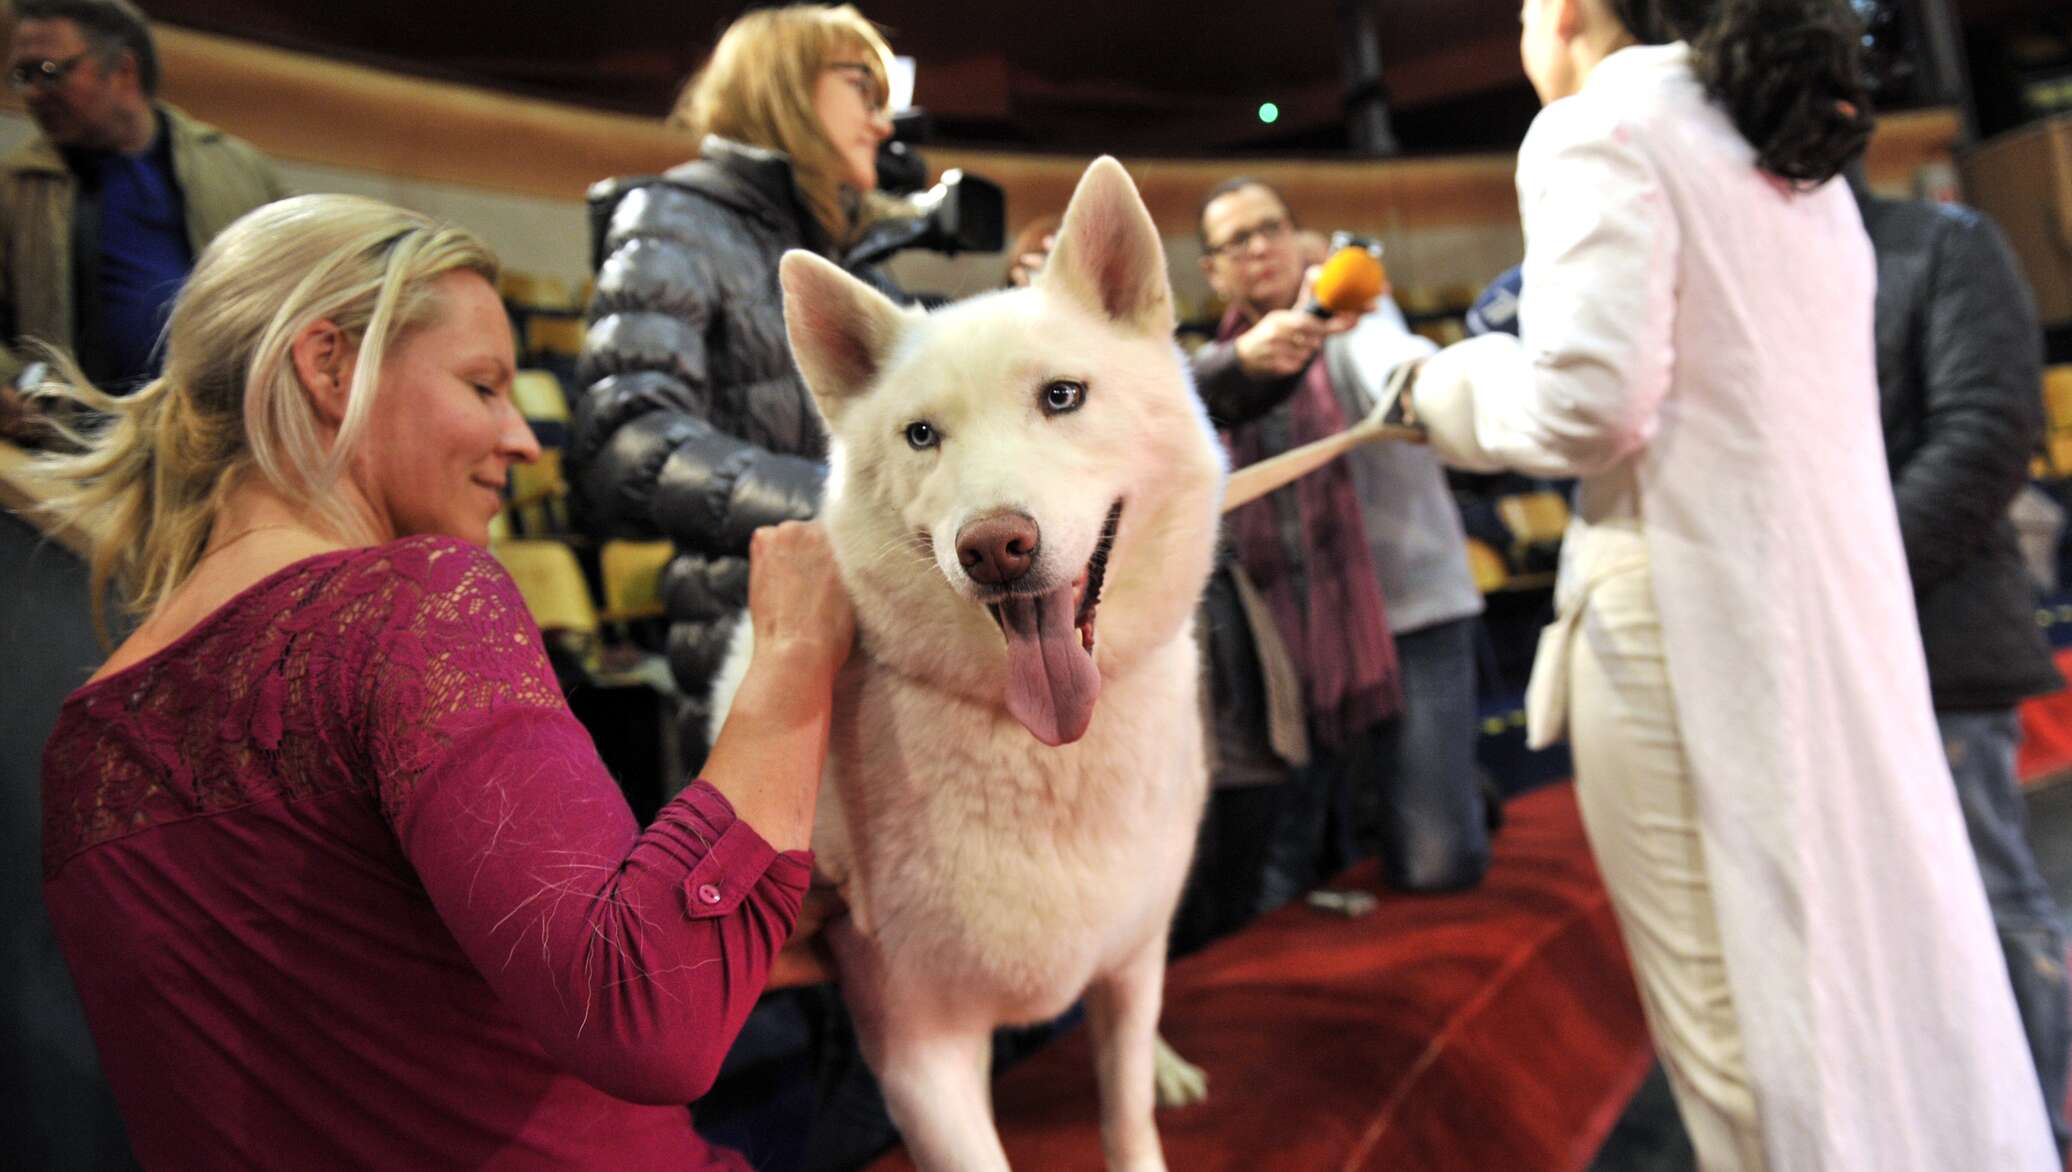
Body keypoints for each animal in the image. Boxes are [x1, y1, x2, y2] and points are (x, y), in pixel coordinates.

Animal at [716, 158, 1226, 1172]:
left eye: (1062, 397)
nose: (994, 547)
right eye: (922, 435)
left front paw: (1151, 1088)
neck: (1044, 750)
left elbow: (1127, 1115)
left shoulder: (1127, 965)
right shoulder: (920, 1052)